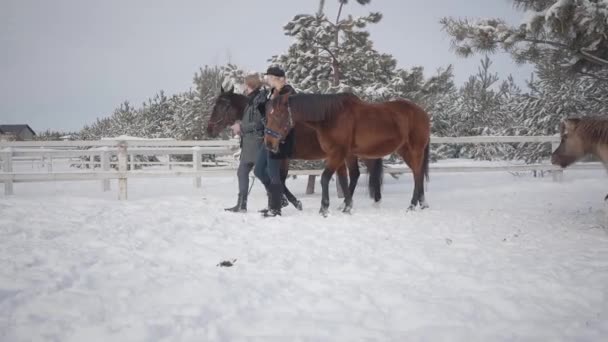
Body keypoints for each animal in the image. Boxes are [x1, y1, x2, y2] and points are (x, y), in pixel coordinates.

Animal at [207, 85, 382, 208]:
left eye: (222, 106)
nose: (209, 129)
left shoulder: (281, 158)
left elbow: (279, 181)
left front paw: (291, 202)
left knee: (369, 169)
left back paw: (371, 201)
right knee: (356, 174)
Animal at [266, 92, 432, 215]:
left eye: (279, 115)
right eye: (268, 116)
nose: (269, 143)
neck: (331, 116)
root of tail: (422, 113)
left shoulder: (337, 153)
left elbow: (325, 178)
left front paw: (324, 208)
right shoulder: (344, 155)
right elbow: (346, 178)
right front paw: (347, 206)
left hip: (415, 150)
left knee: (417, 174)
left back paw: (412, 205)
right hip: (402, 150)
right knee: (417, 173)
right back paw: (422, 203)